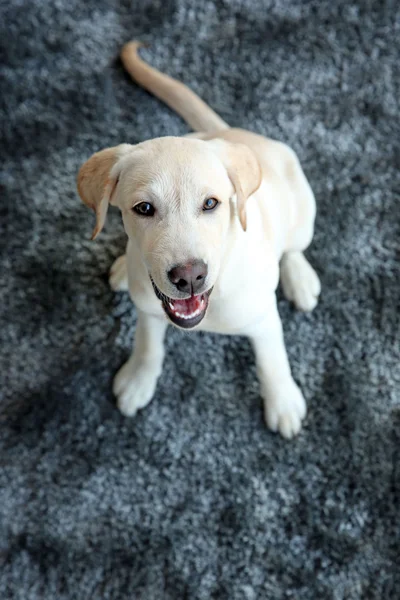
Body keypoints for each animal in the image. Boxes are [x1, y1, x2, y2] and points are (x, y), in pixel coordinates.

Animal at [77, 41, 322, 436]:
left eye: (211, 204)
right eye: (144, 208)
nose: (189, 277)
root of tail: (231, 132)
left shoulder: (264, 318)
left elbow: (272, 360)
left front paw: (283, 401)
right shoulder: (149, 309)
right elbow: (148, 344)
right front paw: (138, 379)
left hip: (302, 215)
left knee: (293, 249)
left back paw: (300, 279)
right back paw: (122, 267)